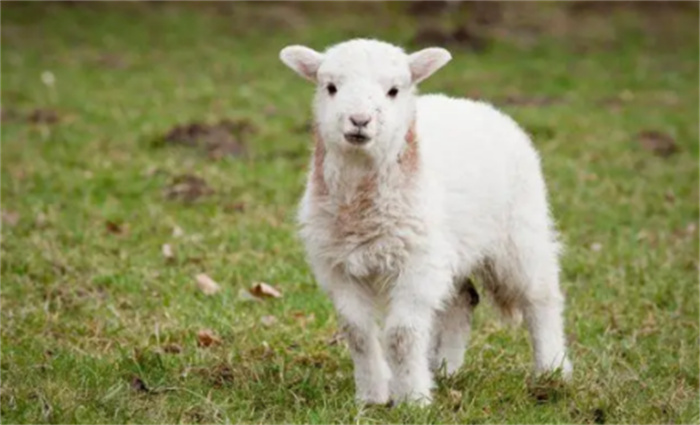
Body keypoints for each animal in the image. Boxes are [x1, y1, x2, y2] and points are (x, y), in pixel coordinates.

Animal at [278, 39, 568, 404]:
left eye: (393, 91)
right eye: (330, 87)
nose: (359, 121)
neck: (361, 207)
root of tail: (473, 104)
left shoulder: (417, 263)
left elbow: (402, 334)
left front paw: (413, 400)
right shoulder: (338, 266)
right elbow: (358, 332)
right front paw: (372, 397)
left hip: (520, 229)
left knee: (541, 296)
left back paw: (553, 371)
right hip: (452, 247)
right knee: (462, 300)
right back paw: (443, 369)